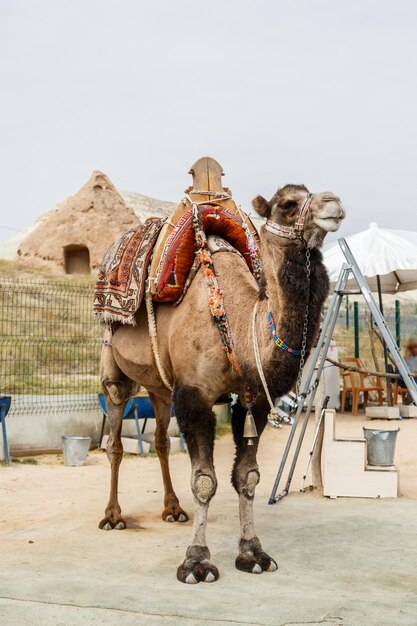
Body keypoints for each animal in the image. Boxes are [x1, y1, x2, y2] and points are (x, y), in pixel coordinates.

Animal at [98, 160, 344, 580]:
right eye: (287, 204)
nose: (334, 202)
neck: (237, 321)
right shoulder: (194, 394)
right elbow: (204, 481)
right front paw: (196, 561)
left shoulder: (252, 399)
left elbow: (247, 477)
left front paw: (253, 553)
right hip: (113, 364)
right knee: (114, 438)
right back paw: (113, 515)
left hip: (160, 388)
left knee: (161, 440)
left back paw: (172, 509)